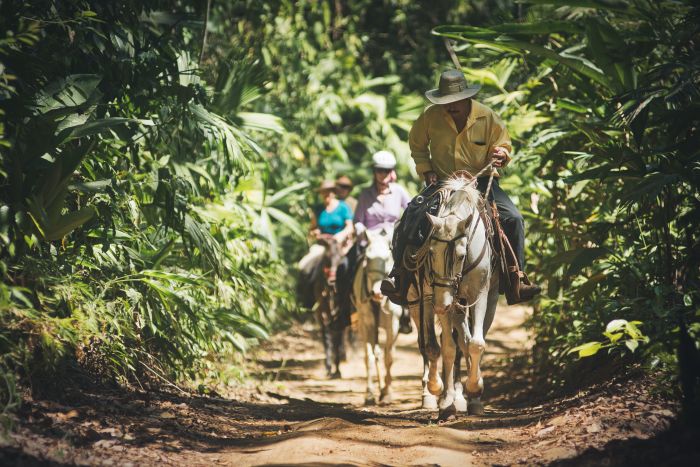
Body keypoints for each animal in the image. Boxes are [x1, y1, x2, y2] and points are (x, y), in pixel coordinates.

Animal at [352, 228, 402, 406]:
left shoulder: (393, 324)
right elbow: (369, 357)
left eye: (387, 258)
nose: (377, 293)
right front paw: (369, 394)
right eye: (367, 258)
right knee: (376, 354)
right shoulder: (367, 324)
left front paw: (387, 393)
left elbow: (389, 357)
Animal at [424, 177, 500, 418]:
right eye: (431, 253)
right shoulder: (444, 300)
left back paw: (473, 399)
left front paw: (475, 388)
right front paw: (447, 400)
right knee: (459, 341)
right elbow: (449, 347)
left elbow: (477, 344)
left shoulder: (481, 294)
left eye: (460, 255)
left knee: (471, 340)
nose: (441, 305)